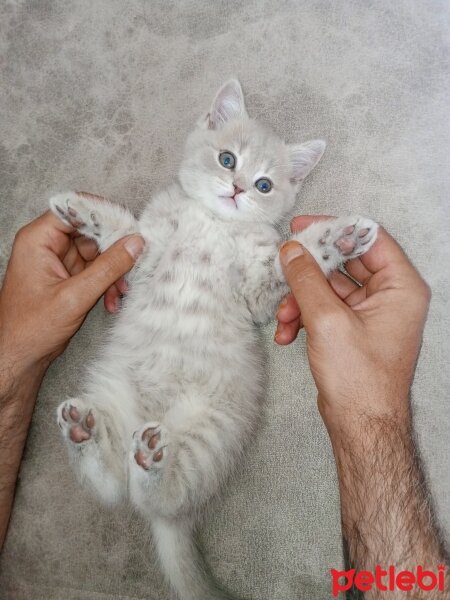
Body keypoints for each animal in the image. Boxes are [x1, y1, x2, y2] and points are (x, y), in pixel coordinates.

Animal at [49, 79, 378, 600]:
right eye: (227, 159)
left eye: (264, 185)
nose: (239, 189)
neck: (214, 221)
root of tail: (149, 419)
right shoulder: (145, 253)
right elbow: (123, 234)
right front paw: (79, 208)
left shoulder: (260, 291)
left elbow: (291, 256)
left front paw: (339, 239)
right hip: (113, 391)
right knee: (112, 486)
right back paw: (85, 430)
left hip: (208, 432)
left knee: (154, 500)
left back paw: (149, 459)